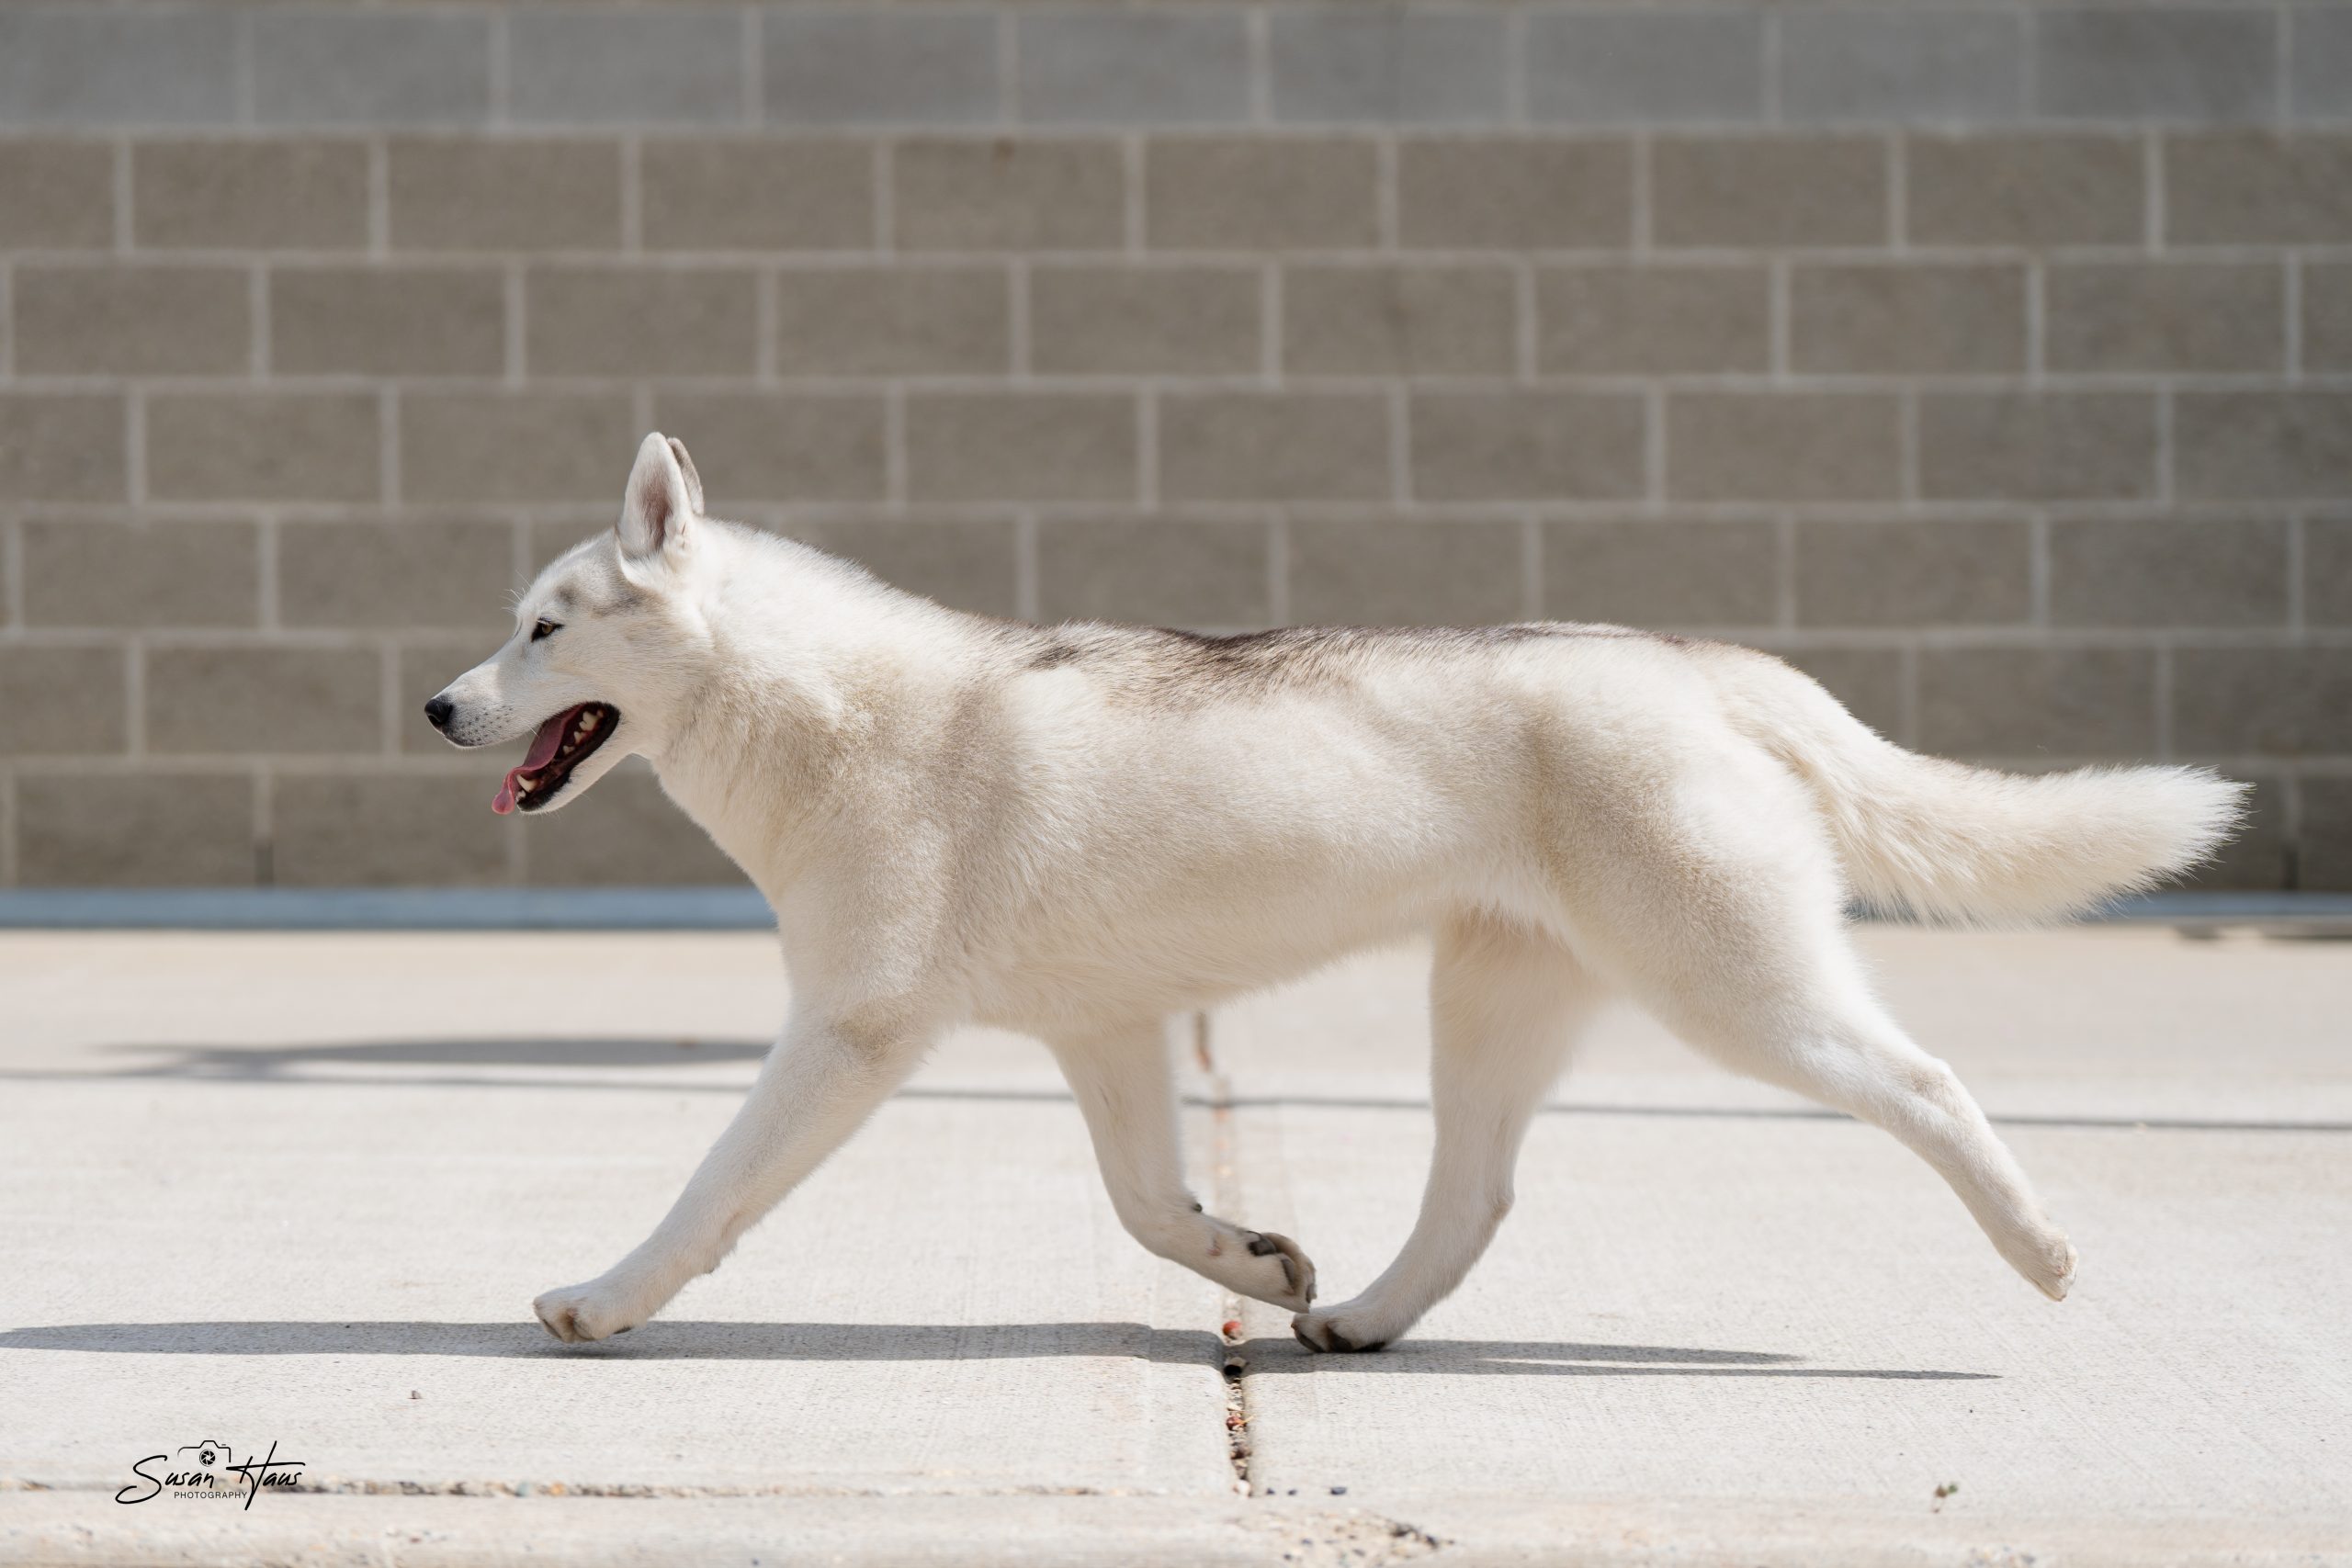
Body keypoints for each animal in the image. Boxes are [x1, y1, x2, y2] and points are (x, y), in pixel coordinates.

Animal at [428, 432, 2242, 1351]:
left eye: (544, 628)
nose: (438, 707)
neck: (827, 715)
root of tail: (1697, 656)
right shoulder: (1110, 1038)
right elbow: (1148, 1210)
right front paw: (1256, 1261)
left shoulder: (849, 1035)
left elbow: (708, 1193)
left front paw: (603, 1299)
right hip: (1495, 1014)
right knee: (1478, 1196)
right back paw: (1362, 1315)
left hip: (1743, 1000)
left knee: (1928, 1082)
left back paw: (2041, 1249)